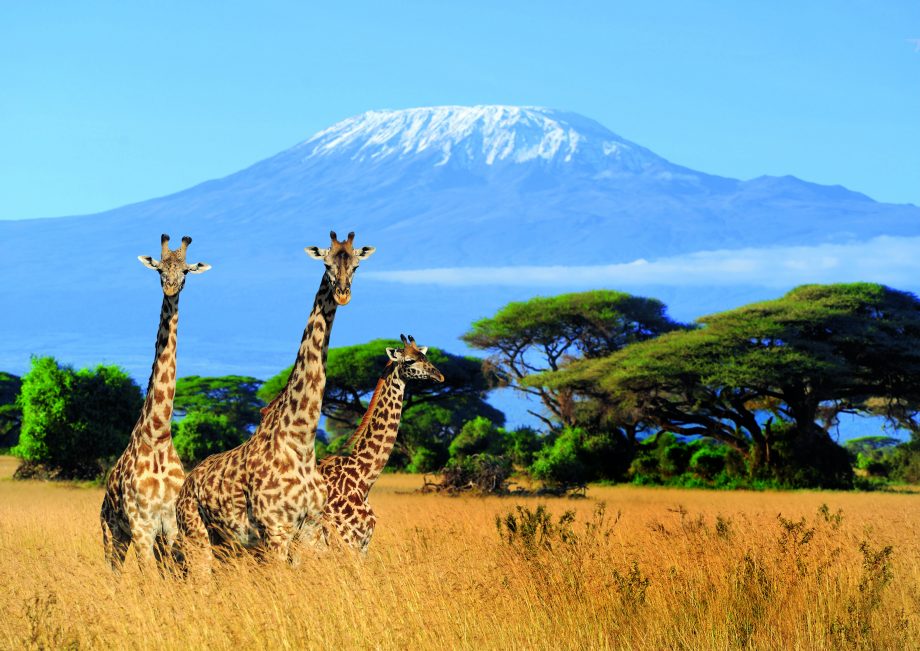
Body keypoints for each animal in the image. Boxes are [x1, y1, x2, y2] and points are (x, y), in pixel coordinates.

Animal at [100, 234, 211, 573]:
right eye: (160, 269)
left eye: (186, 271)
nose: (171, 287)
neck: (159, 434)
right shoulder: (142, 526)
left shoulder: (171, 526)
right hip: (112, 532)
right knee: (113, 571)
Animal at [175, 231, 375, 572]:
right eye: (326, 263)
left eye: (356, 266)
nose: (343, 294)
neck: (301, 440)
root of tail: (184, 488)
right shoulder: (276, 530)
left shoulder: (309, 529)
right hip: (195, 535)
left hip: (225, 544)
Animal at [313, 334, 444, 553]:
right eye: (409, 361)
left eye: (425, 356)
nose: (439, 376)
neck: (363, 479)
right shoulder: (348, 542)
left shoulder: (363, 544)